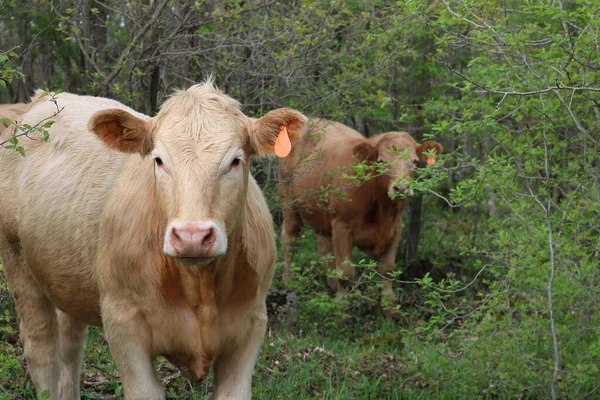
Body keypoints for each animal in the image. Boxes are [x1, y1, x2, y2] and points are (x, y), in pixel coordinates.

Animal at [0, 82, 308, 400]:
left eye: (235, 161)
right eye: (158, 160)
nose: (192, 236)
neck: (200, 289)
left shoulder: (251, 326)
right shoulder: (124, 325)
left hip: (66, 276)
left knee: (70, 347)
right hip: (17, 262)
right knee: (42, 349)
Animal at [278, 119, 440, 316]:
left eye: (415, 161)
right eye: (381, 161)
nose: (401, 188)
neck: (381, 211)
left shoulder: (396, 227)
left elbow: (387, 269)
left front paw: (389, 307)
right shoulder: (341, 226)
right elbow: (346, 271)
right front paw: (341, 307)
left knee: (324, 246)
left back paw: (331, 285)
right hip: (287, 196)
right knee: (290, 237)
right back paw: (288, 280)